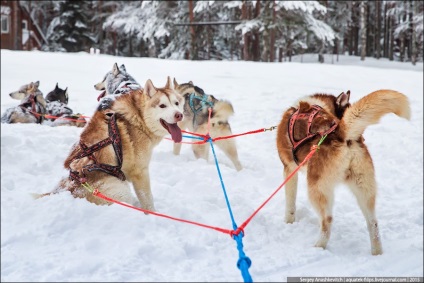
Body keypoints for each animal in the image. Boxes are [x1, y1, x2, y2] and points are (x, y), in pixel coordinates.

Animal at [41, 76, 184, 212]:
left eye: (176, 103)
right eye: (162, 105)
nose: (179, 115)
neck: (139, 117)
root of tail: (60, 191)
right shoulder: (140, 172)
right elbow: (148, 200)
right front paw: (152, 213)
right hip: (120, 189)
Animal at [274, 90, 410, 256]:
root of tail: (341, 132)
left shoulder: (289, 169)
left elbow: (290, 203)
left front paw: (289, 222)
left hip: (316, 189)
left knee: (327, 220)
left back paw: (318, 247)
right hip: (364, 190)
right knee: (373, 223)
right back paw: (376, 252)